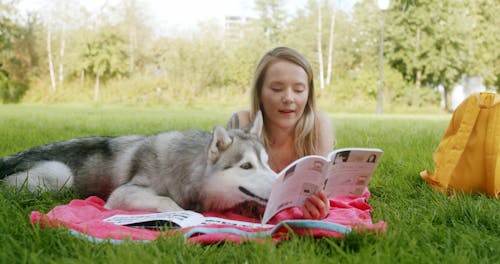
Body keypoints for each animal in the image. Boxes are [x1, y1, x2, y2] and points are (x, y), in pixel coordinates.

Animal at [0, 112, 276, 213]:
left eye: (267, 163)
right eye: (246, 166)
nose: (280, 180)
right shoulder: (123, 193)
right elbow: (168, 202)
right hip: (60, 174)